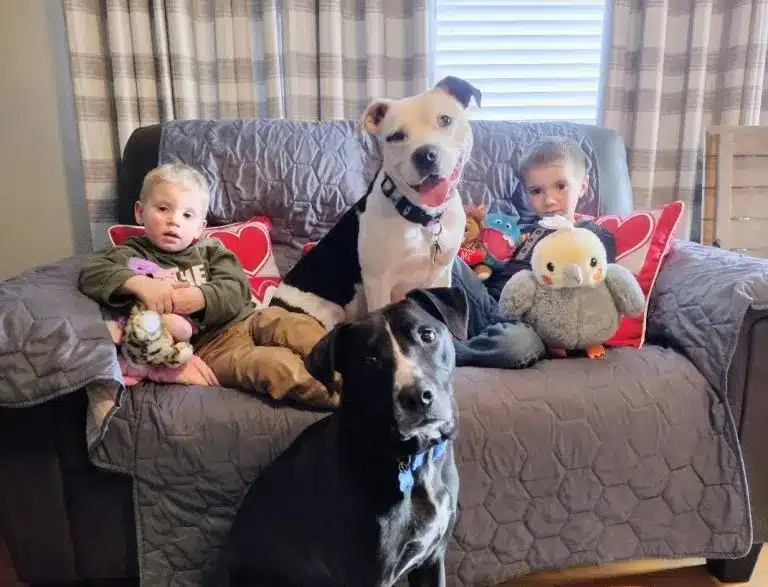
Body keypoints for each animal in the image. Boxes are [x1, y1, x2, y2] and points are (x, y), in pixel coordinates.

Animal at [222, 288, 468, 587]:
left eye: (428, 335)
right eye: (370, 360)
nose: (417, 397)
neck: (414, 460)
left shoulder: (432, 558)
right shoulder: (370, 576)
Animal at [272, 76, 480, 330]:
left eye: (445, 120)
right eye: (396, 136)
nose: (425, 154)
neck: (422, 219)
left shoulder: (441, 275)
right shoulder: (378, 284)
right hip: (327, 312)